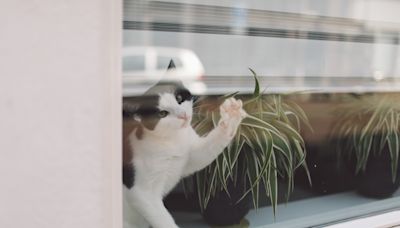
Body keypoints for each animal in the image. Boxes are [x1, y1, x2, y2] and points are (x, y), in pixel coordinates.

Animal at [122, 63, 247, 227]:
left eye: (179, 98)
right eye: (162, 114)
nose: (182, 115)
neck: (172, 140)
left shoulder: (189, 155)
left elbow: (204, 153)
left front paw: (231, 117)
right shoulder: (142, 193)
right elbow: (163, 219)